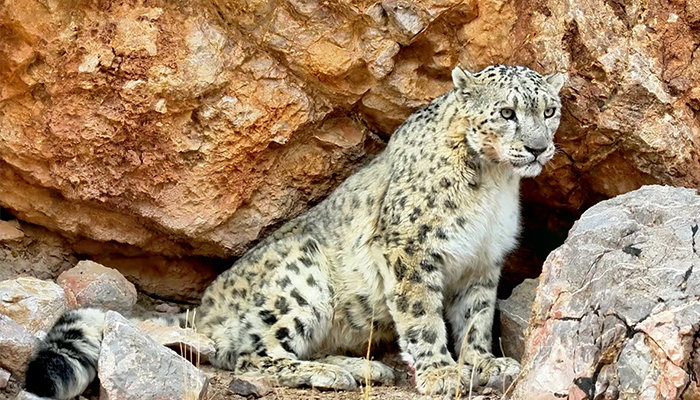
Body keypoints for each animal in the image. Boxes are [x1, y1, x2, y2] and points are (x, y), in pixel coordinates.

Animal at [25, 64, 565, 399]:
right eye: (507, 112)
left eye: (550, 109)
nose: (539, 148)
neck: (494, 185)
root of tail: (205, 308)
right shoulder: (412, 250)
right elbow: (422, 319)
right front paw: (441, 374)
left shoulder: (483, 261)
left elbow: (476, 316)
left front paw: (484, 363)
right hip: (299, 279)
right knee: (251, 355)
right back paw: (334, 373)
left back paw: (359, 366)